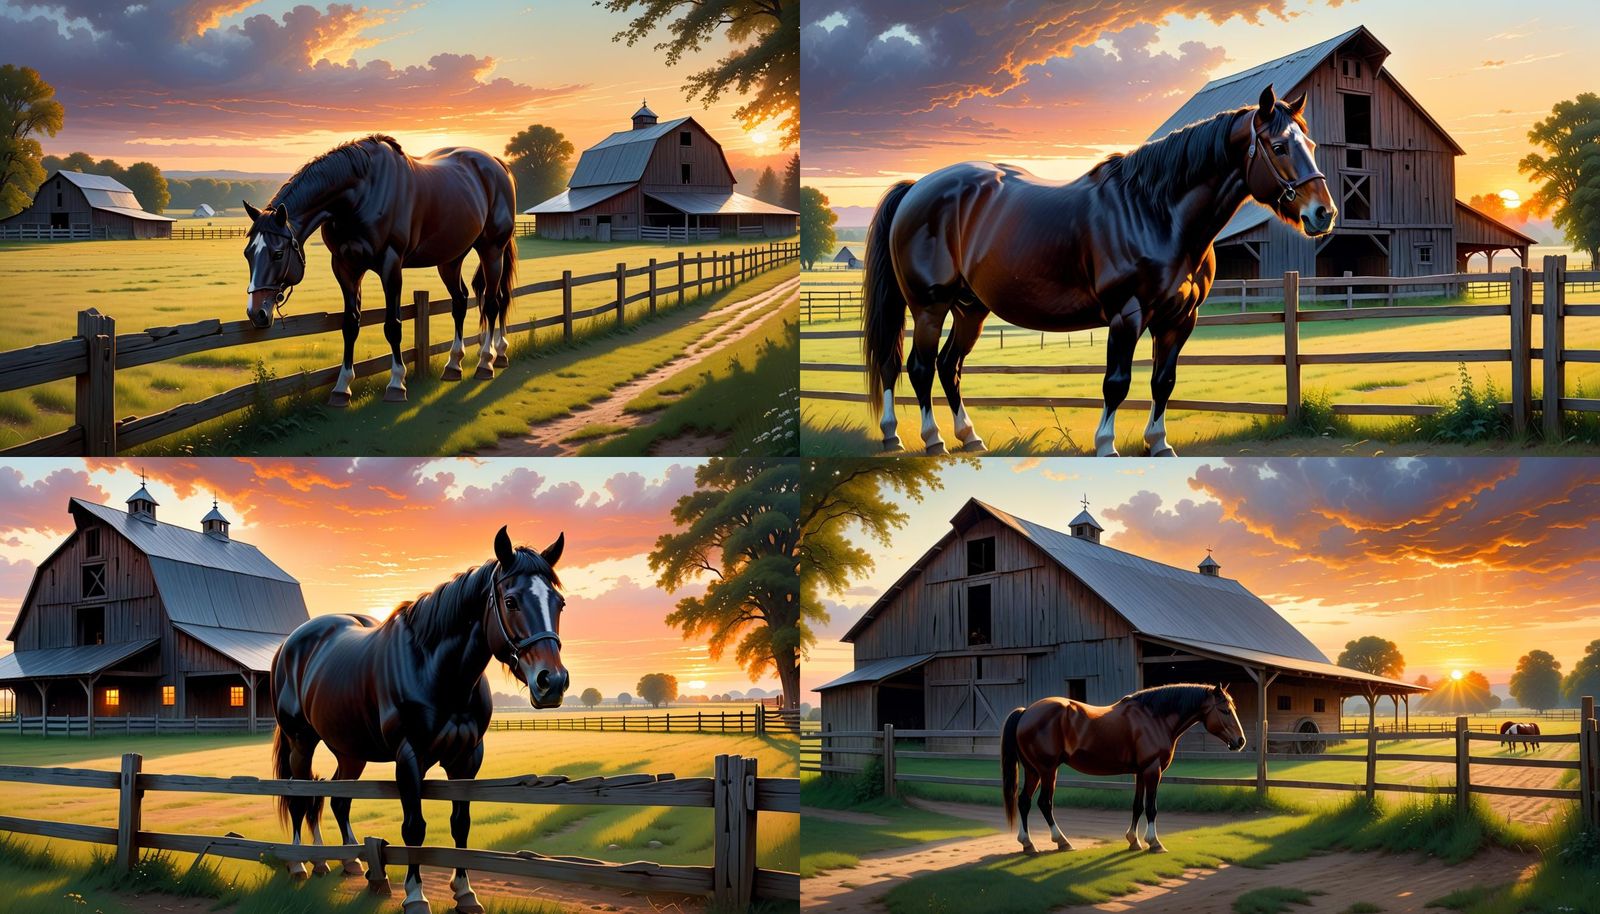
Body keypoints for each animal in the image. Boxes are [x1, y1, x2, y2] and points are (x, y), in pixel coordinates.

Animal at [242, 135, 519, 408]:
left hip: (492, 251)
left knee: (492, 303)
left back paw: (487, 361)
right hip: (450, 259)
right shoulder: (345, 267)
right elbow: (350, 324)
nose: (257, 313)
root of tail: (496, 165)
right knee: (460, 302)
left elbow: (392, 325)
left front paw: (396, 384)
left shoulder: (390, 265)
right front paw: (342, 388)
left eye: (278, 253)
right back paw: (454, 364)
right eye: (248, 254)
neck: (361, 194)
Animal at [270, 526, 568, 914]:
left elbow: (461, 823)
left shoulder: (467, 758)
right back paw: (302, 864)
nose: (553, 682)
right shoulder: (409, 757)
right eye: (511, 601)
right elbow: (414, 826)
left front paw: (465, 892)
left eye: (558, 603)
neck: (435, 668)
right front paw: (414, 896)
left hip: (351, 752)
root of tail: (290, 645)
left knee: (337, 799)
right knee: (301, 797)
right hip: (301, 742)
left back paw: (350, 863)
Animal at [860, 84, 1337, 456]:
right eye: (1279, 147)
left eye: (1312, 146)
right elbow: (1116, 383)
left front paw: (1159, 444)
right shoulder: (1127, 315)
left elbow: (1163, 381)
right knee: (913, 366)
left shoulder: (1180, 319)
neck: (1156, 213)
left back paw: (967, 437)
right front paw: (1106, 445)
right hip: (928, 306)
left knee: (947, 366)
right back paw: (925, 439)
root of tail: (917, 188)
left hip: (969, 308)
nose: (1323, 213)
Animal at [1000, 683, 1246, 855]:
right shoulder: (1152, 771)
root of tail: (1026, 712)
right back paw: (1062, 842)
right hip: (1048, 770)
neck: (1153, 718)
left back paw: (1028, 844)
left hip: (1033, 771)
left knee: (1024, 801)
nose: (1240, 741)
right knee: (1045, 803)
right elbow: (1151, 808)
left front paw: (1133, 840)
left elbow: (1137, 806)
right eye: (1224, 710)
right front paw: (1154, 843)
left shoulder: (1140, 772)